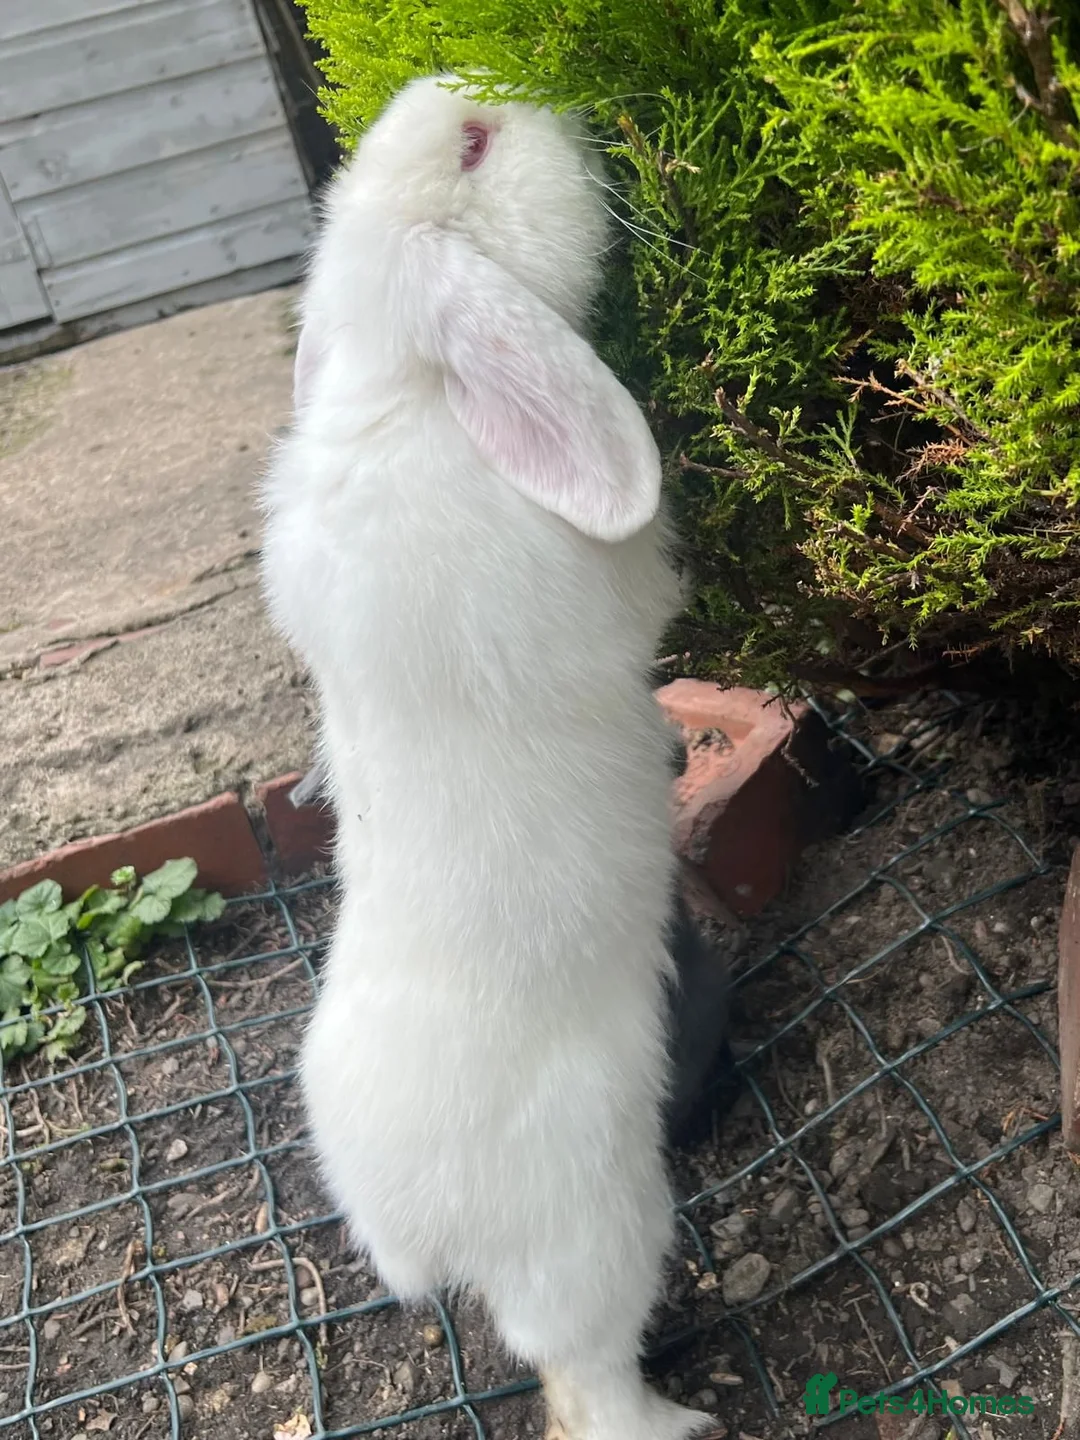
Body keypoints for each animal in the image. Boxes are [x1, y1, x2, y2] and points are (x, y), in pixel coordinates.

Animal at [259, 74, 725, 1440]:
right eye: (474, 147)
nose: (541, 105)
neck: (406, 393)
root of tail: (404, 1221)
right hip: (601, 1231)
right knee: (582, 1375)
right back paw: (680, 1420)